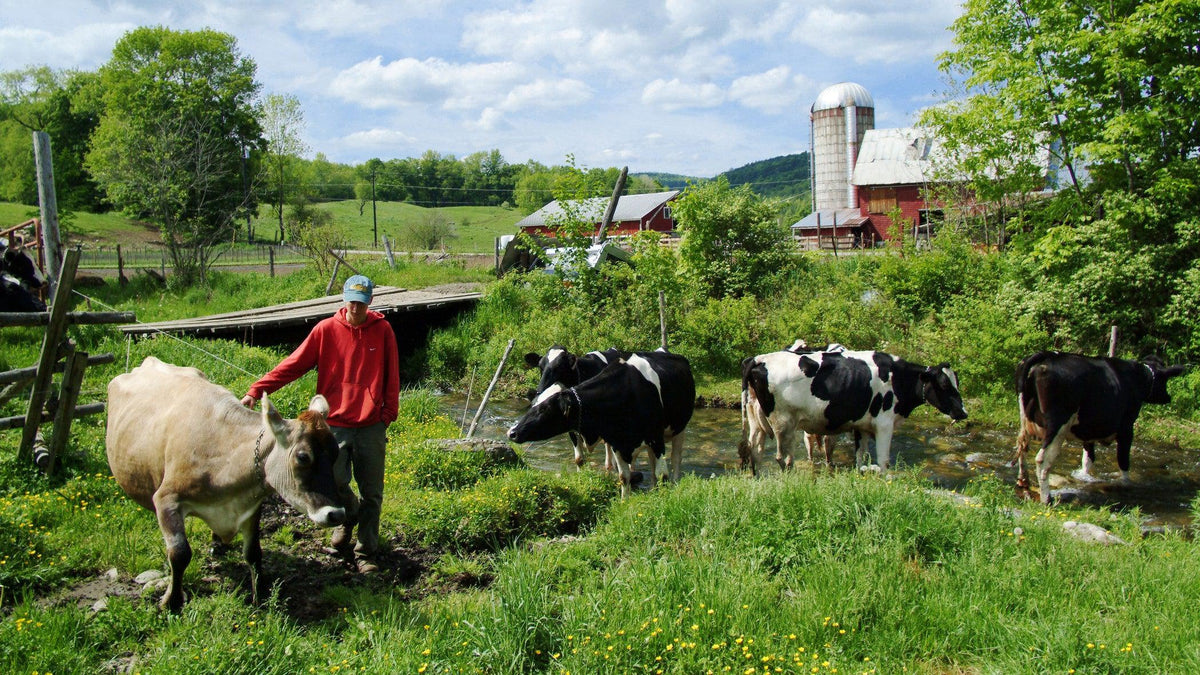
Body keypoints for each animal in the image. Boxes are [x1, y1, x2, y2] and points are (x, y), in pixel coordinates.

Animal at [106, 357, 348, 610]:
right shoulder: (166, 499)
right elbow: (180, 553)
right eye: (302, 457)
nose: (336, 514)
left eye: (335, 453)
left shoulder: (251, 505)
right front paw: (171, 602)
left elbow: (253, 552)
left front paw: (260, 596)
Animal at [504, 348, 696, 497]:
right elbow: (622, 476)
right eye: (532, 405)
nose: (512, 432)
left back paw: (673, 483)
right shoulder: (616, 439)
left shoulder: (654, 436)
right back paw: (652, 486)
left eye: (543, 409)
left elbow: (663, 473)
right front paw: (625, 502)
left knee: (675, 458)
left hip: (678, 428)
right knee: (650, 460)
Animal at [734, 345, 969, 473]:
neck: (898, 378)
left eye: (956, 382)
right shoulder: (884, 423)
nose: (963, 412)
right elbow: (883, 460)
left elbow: (860, 457)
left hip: (757, 420)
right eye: (944, 385)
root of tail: (759, 358)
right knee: (782, 458)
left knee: (755, 451)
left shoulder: (862, 426)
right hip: (784, 422)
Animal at [1017, 348, 1185, 502]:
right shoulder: (1126, 427)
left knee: (1022, 448)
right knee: (1042, 459)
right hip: (1057, 425)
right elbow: (1123, 460)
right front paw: (1125, 483)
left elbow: (1087, 459)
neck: (1137, 378)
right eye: (1165, 380)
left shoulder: (1088, 430)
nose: (1168, 397)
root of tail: (1046, 356)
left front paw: (1085, 477)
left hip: (1025, 421)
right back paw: (1047, 499)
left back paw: (1024, 484)